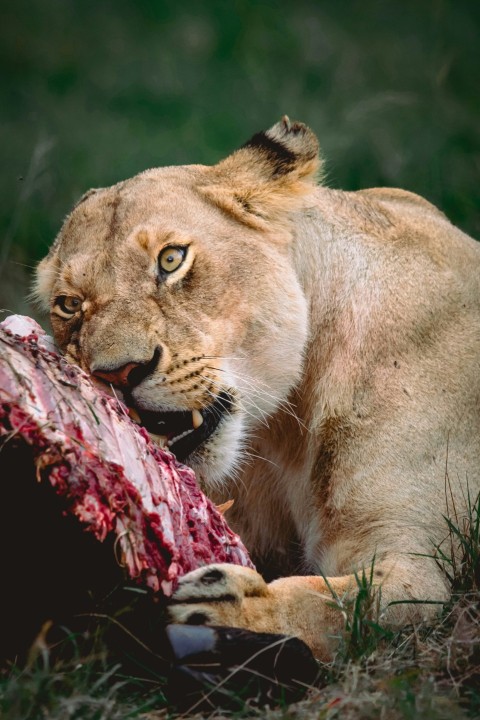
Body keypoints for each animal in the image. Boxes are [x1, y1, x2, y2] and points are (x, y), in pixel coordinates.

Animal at [34, 117, 480, 659]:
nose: (118, 373)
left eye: (171, 259)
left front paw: (233, 607)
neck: (279, 430)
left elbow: (341, 603)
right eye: (69, 304)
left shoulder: (415, 563)